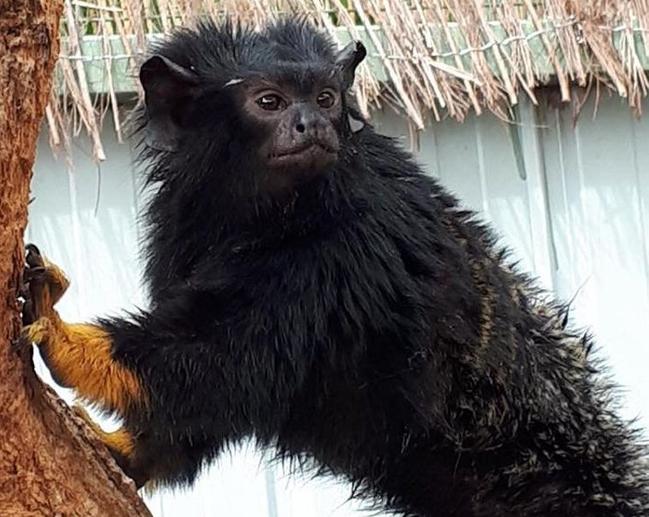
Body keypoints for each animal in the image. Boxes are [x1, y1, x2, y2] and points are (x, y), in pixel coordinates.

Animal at [21, 17, 648, 516]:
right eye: (270, 102)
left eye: (324, 98)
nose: (312, 125)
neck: (260, 213)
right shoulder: (177, 231)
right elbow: (208, 401)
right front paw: (134, 454)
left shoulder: (349, 244)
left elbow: (228, 359)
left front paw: (68, 341)